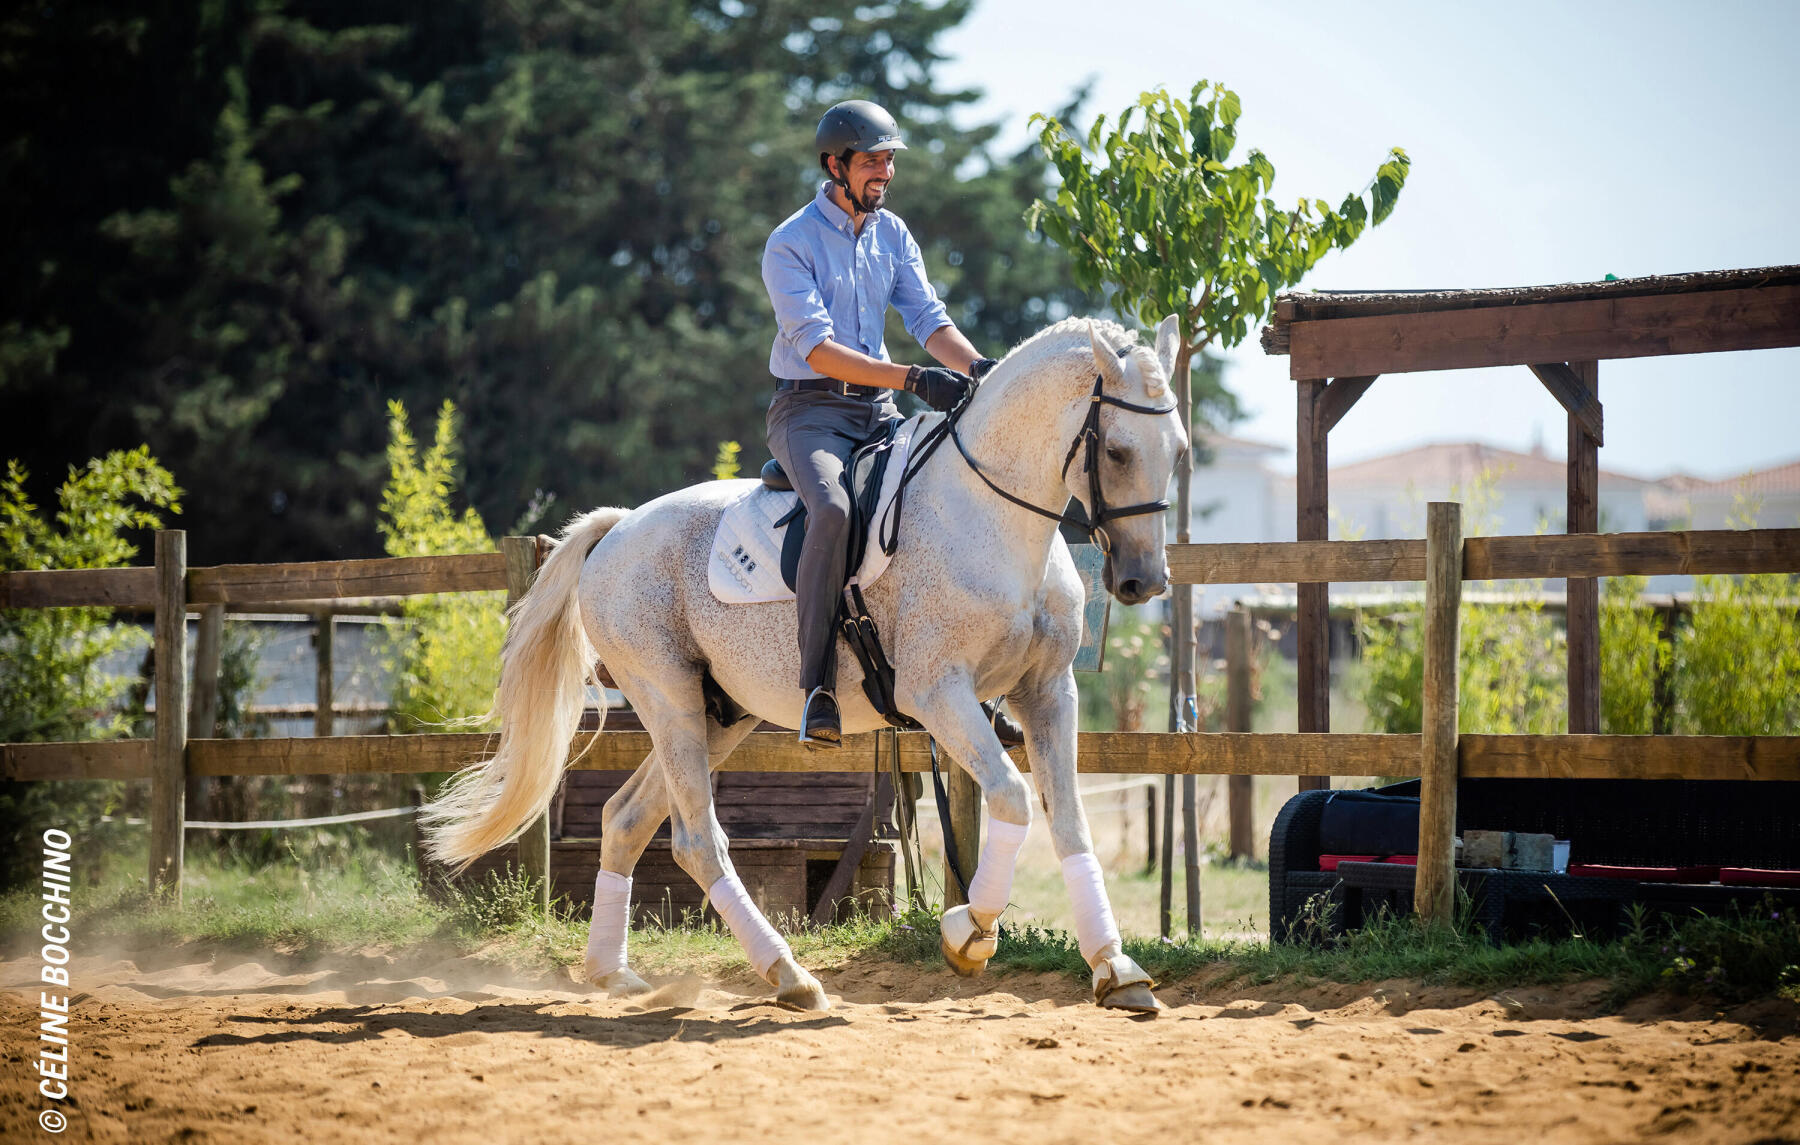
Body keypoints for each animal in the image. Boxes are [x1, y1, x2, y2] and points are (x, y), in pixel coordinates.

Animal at [417, 311, 1180, 1008]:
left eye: (1176, 448)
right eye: (1116, 451)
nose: (1144, 582)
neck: (992, 517)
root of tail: (619, 526)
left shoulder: (1047, 692)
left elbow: (1070, 820)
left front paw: (1116, 968)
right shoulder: (938, 694)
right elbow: (1016, 800)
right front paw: (968, 934)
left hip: (717, 715)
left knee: (627, 819)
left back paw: (615, 972)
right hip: (667, 697)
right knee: (697, 839)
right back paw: (788, 974)